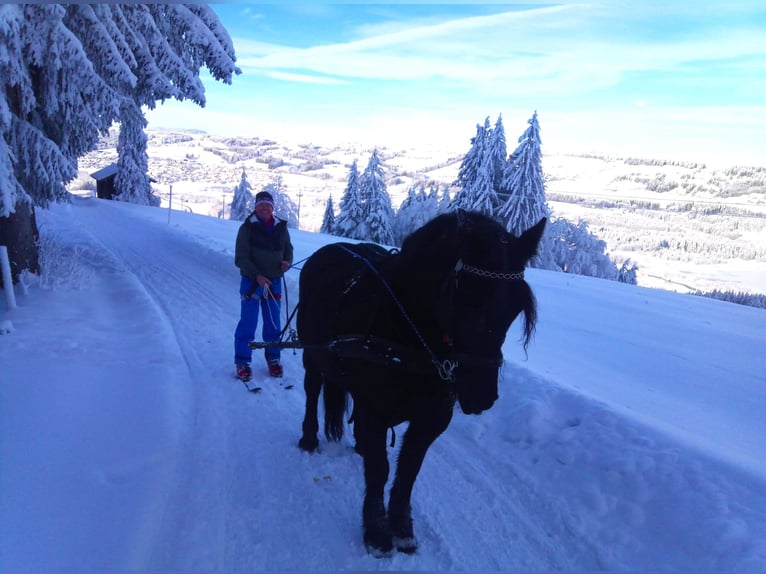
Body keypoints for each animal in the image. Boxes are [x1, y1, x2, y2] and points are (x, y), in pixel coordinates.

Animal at [298, 212, 544, 560]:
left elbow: (408, 470)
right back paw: (308, 438)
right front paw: (376, 532)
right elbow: (380, 469)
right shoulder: (375, 410)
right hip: (312, 353)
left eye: (515, 309)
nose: (481, 396)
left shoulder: (433, 418)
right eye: (466, 297)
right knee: (312, 389)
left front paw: (402, 529)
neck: (408, 338)